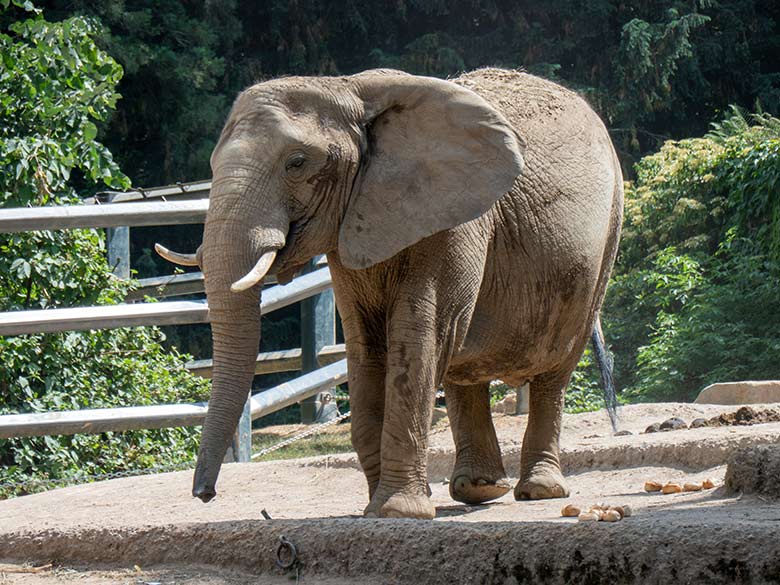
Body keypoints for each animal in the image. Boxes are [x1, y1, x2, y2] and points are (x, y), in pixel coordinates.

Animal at [157, 68, 620, 520]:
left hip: (607, 236)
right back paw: (479, 489)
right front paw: (378, 507)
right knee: (460, 364)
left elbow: (416, 336)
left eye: (296, 162)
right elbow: (365, 346)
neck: (347, 88)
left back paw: (539, 490)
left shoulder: (453, 220)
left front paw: (399, 511)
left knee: (552, 369)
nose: (205, 494)